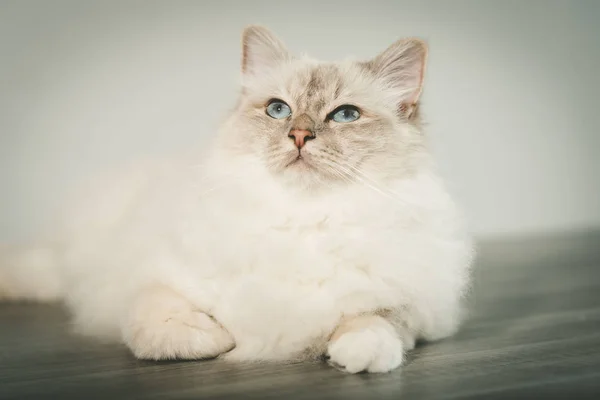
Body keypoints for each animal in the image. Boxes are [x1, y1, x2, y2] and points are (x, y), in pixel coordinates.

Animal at [2, 26, 476, 374]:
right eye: (278, 110)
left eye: (345, 115)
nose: (299, 136)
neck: (302, 220)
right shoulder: (153, 278)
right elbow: (159, 326)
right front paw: (217, 341)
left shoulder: (416, 303)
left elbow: (377, 319)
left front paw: (360, 354)